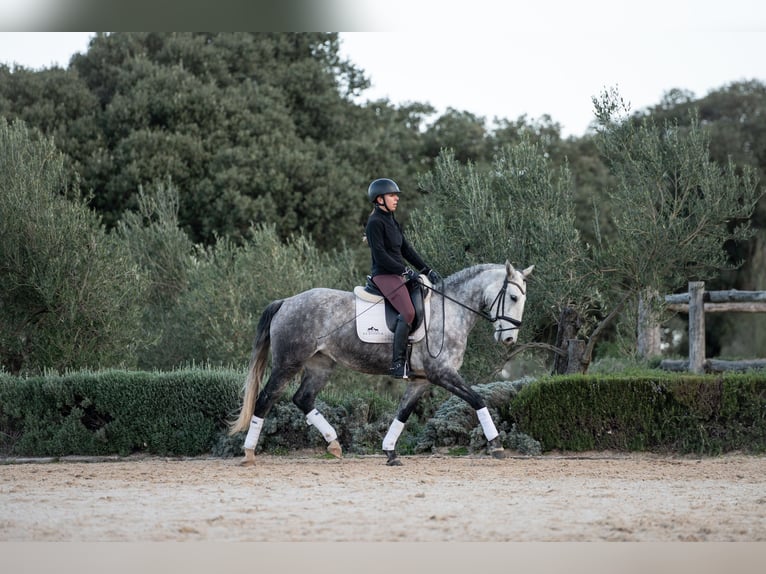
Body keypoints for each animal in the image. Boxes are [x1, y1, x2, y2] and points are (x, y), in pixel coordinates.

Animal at [228, 260, 536, 468]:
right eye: (513, 297)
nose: (509, 338)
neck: (450, 310)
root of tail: (286, 301)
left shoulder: (421, 380)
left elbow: (403, 413)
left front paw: (390, 451)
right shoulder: (442, 373)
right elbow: (477, 399)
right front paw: (496, 445)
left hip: (320, 365)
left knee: (302, 399)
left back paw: (334, 444)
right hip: (288, 363)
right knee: (265, 399)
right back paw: (249, 453)